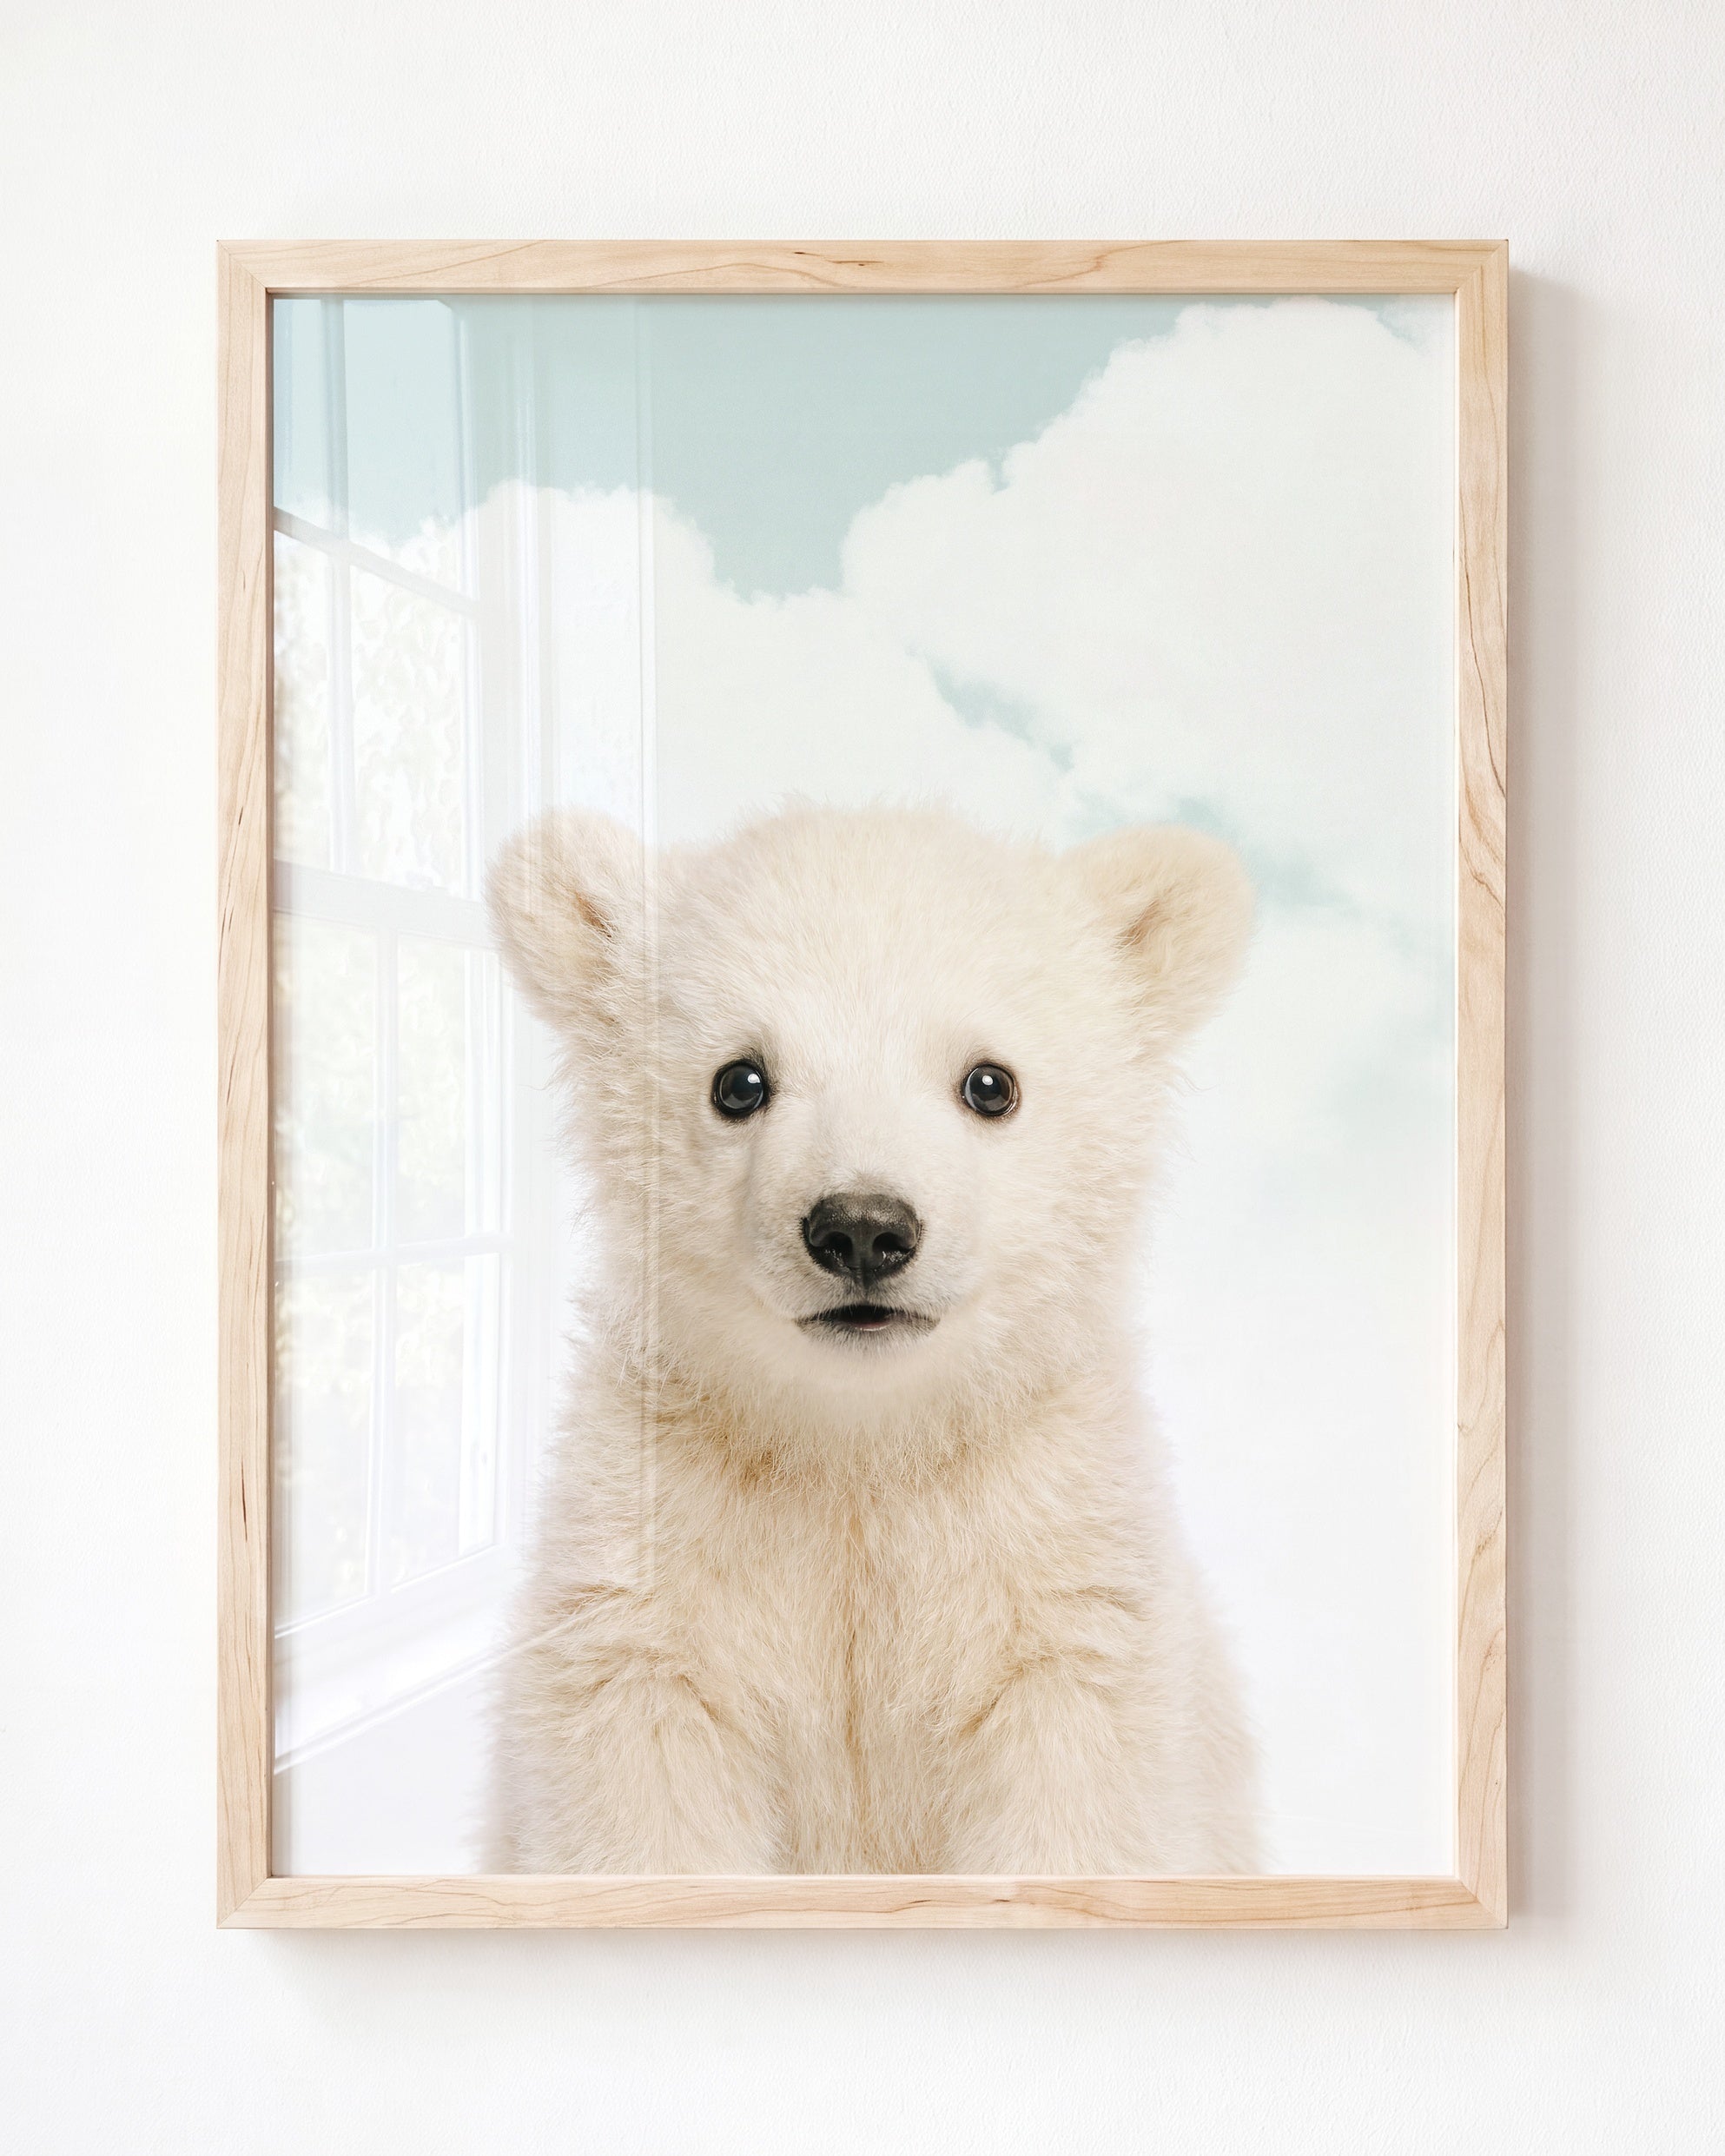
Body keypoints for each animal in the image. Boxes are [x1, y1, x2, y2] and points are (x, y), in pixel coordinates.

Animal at [483, 802, 1259, 1875]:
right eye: (739, 1080)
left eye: (990, 1083)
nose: (861, 1228)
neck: (861, 1446)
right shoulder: (654, 1560)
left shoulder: (1057, 1574)